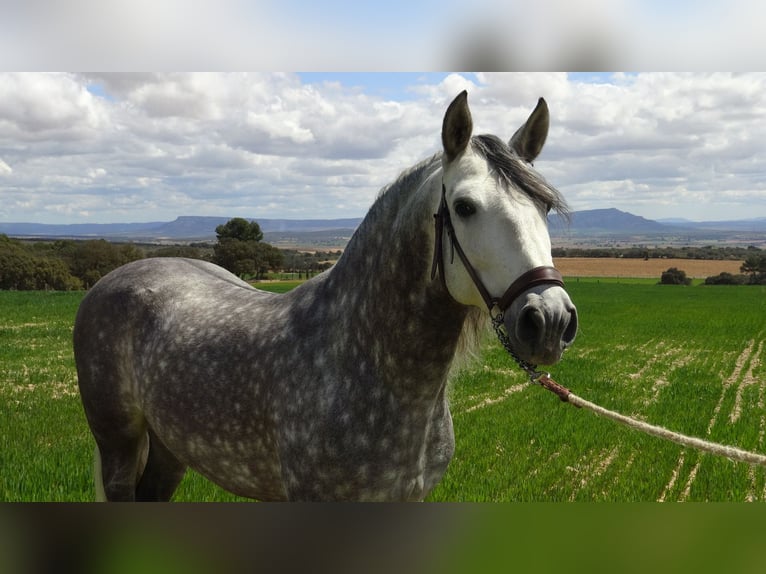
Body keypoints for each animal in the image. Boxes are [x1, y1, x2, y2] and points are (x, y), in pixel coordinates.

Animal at [74, 91, 578, 501]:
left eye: (544, 206)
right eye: (465, 207)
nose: (549, 320)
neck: (360, 359)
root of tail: (113, 279)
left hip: (170, 445)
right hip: (118, 443)